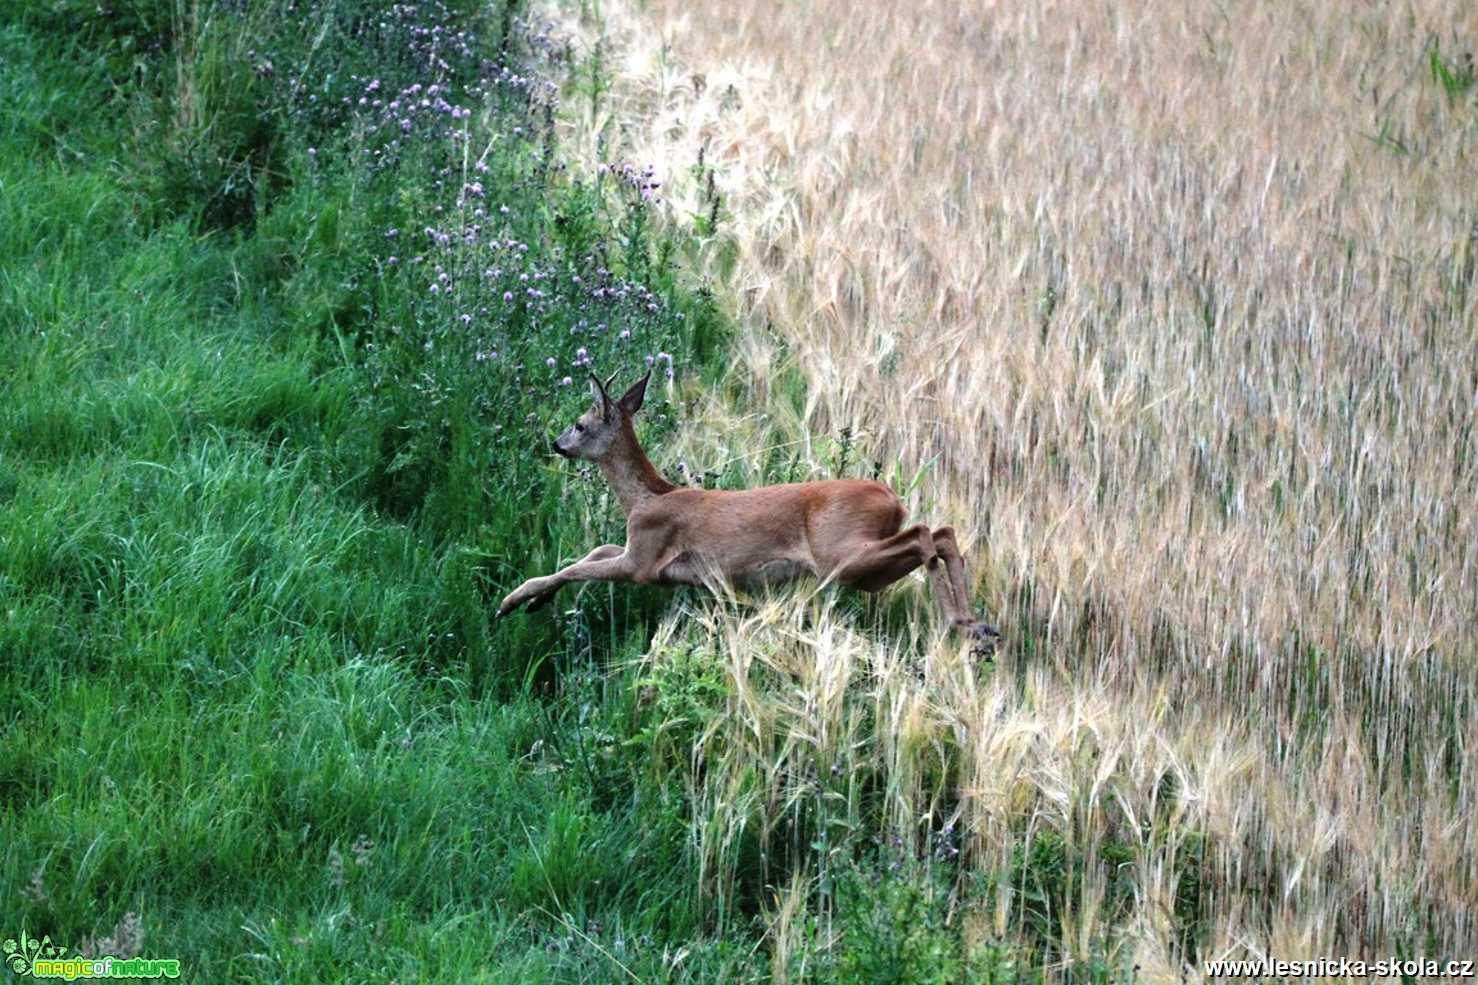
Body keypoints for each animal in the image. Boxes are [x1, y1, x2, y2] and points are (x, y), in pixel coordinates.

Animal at [499, 372, 1005, 647]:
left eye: (580, 424)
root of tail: (892, 498)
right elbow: (593, 552)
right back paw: (978, 627)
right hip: (863, 569)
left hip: (842, 555)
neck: (648, 498)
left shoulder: (643, 559)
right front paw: (535, 601)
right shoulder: (638, 549)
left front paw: (513, 601)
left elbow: (576, 567)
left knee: (925, 534)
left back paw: (961, 622)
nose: (557, 444)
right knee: (942, 533)